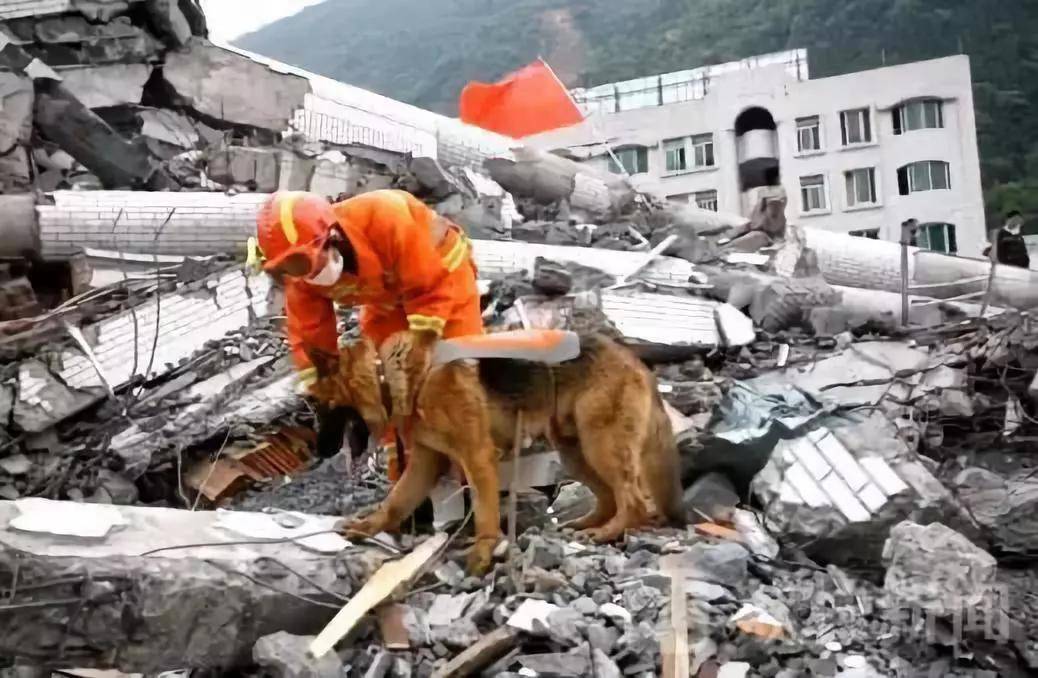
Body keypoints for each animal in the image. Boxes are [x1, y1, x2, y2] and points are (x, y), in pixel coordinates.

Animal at [303, 330, 685, 573]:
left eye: (319, 406)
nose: (317, 451)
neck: (395, 376)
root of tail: (635, 361)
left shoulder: (477, 457)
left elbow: (485, 512)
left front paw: (484, 553)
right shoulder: (424, 464)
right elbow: (394, 502)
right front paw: (367, 525)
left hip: (599, 445)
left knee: (633, 499)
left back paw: (608, 532)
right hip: (575, 451)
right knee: (608, 496)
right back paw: (588, 525)